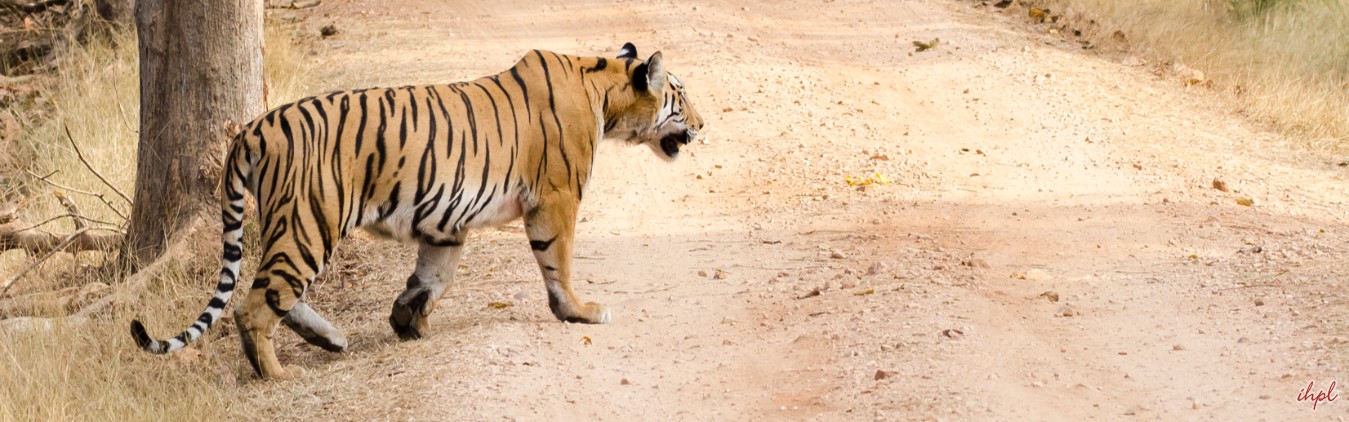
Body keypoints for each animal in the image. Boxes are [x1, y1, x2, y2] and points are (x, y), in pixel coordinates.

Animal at [126, 43, 706, 377]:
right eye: (680, 94)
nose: (703, 124)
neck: (603, 90)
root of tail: (251, 127)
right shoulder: (556, 198)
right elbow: (557, 263)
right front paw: (580, 312)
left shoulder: (448, 220)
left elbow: (433, 276)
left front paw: (408, 320)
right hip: (310, 223)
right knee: (256, 302)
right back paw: (278, 374)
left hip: (294, 225)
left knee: (272, 293)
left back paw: (330, 338)